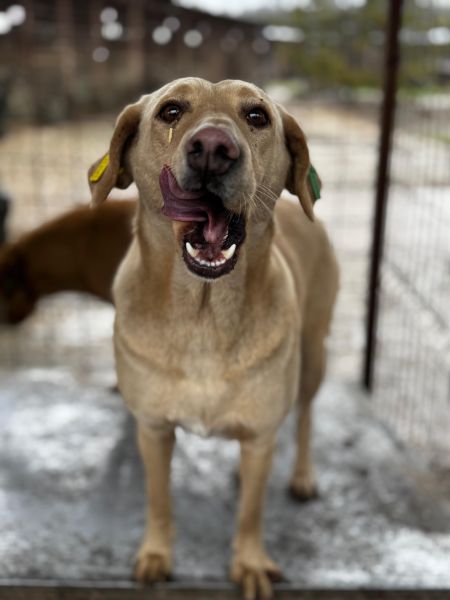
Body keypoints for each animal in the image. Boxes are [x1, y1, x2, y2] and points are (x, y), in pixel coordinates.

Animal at [88, 78, 339, 600]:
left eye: (257, 116)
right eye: (170, 111)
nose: (212, 149)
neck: (203, 317)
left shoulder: (261, 436)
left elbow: (251, 512)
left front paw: (249, 563)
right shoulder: (155, 430)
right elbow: (158, 498)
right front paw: (157, 554)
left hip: (313, 356)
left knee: (305, 416)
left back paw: (303, 475)